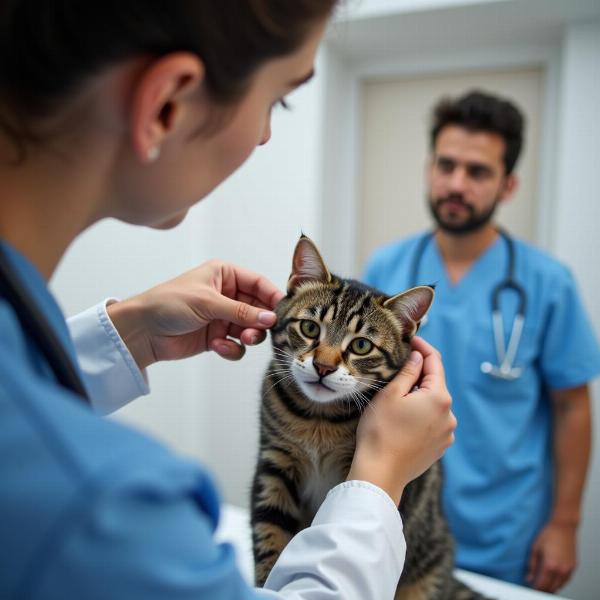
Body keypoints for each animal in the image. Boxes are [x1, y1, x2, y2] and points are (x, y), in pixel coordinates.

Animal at [248, 236, 488, 600]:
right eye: (309, 328)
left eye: (361, 346)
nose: (323, 366)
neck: (318, 420)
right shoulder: (275, 464)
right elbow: (271, 537)